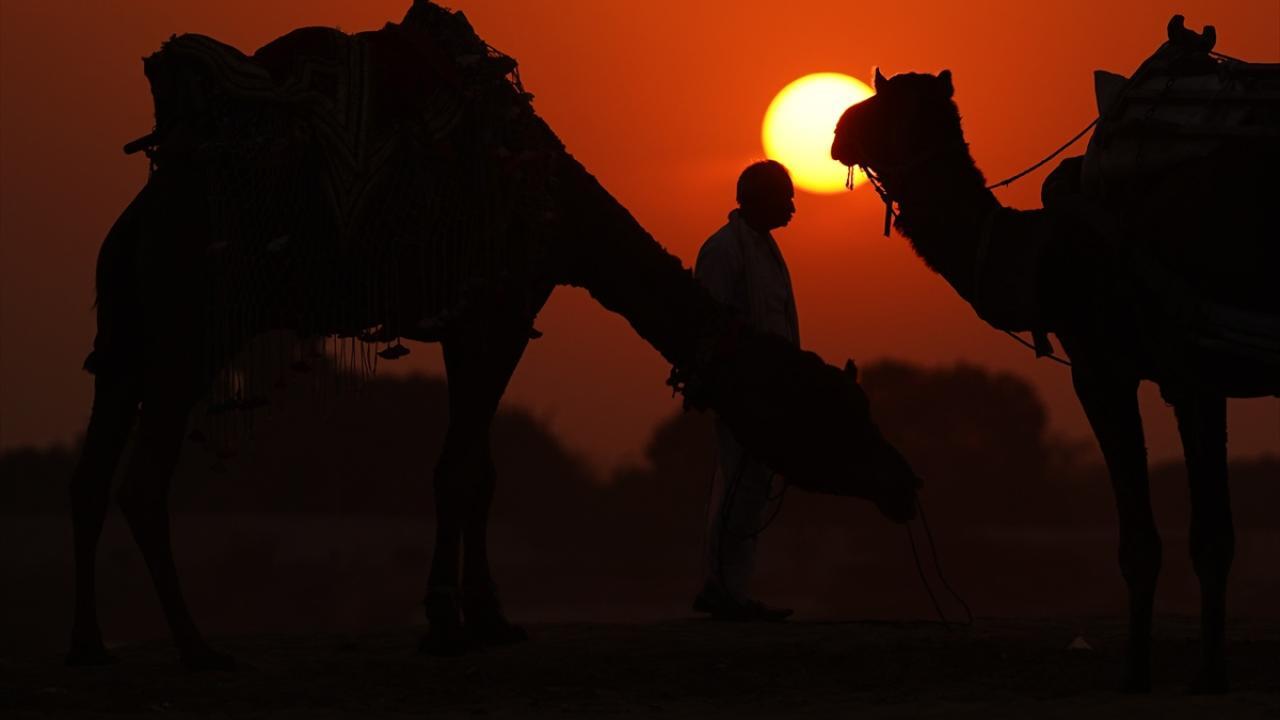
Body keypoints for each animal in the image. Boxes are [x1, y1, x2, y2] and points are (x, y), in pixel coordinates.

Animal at [64, 1, 921, 666]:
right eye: (835, 411)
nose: (904, 482)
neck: (557, 212)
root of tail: (134, 220)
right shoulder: (493, 312)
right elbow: (460, 470)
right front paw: (450, 621)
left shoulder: (483, 318)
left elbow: (479, 470)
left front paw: (489, 618)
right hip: (194, 324)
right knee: (142, 478)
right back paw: (195, 646)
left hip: (128, 327)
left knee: (92, 468)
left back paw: (92, 646)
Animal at [834, 16, 1274, 691]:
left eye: (883, 104)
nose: (836, 131)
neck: (1042, 254)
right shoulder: (1192, 372)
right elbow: (1213, 538)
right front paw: (1210, 674)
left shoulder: (1107, 365)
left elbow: (1144, 542)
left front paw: (1137, 672)